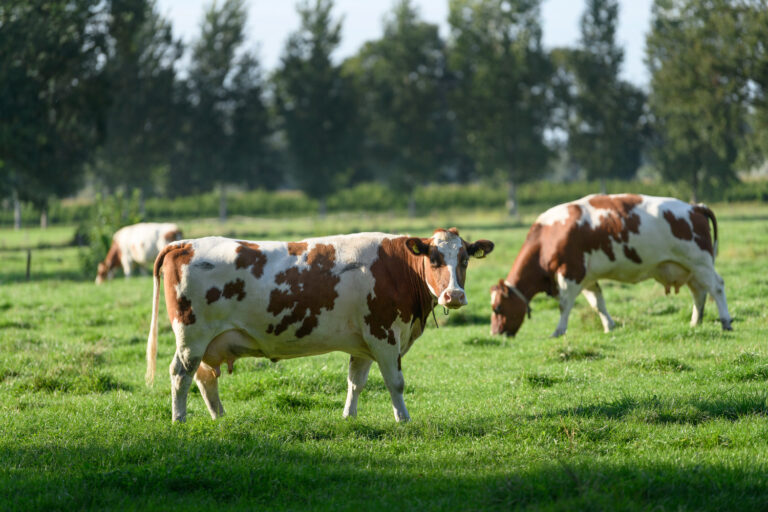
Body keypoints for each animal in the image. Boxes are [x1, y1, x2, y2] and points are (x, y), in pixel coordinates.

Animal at [145, 230, 496, 422]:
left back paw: (219, 417)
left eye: (464, 259)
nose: (454, 295)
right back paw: (179, 419)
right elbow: (395, 383)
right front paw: (404, 420)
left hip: (208, 341)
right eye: (434, 259)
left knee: (205, 379)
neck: (398, 269)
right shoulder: (383, 334)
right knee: (181, 374)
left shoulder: (364, 342)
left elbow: (355, 382)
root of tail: (184, 244)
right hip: (192, 338)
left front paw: (349, 417)